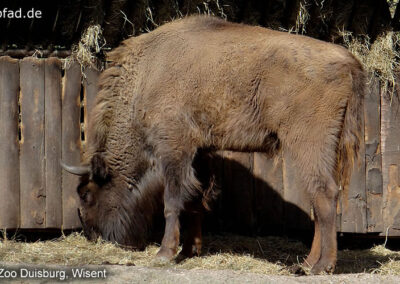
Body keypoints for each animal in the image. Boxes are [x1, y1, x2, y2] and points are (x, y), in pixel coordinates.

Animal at [62, 15, 366, 272]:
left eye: (86, 194)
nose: (92, 235)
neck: (146, 77)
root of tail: (349, 60)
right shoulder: (200, 152)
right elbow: (196, 199)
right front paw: (190, 249)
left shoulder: (174, 148)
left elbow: (173, 200)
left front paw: (165, 253)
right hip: (325, 148)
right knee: (318, 200)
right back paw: (305, 263)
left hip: (308, 144)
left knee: (325, 195)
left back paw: (321, 266)